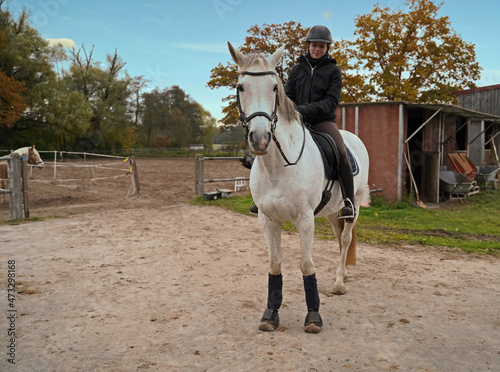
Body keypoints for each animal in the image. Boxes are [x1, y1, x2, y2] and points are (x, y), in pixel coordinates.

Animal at [229, 42, 370, 334]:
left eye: (274, 87)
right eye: (241, 87)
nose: (260, 139)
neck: (276, 167)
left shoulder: (305, 220)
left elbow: (306, 265)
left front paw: (313, 316)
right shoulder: (268, 220)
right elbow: (274, 265)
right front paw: (270, 314)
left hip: (354, 206)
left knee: (346, 237)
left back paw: (339, 282)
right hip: (330, 212)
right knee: (339, 237)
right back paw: (343, 274)